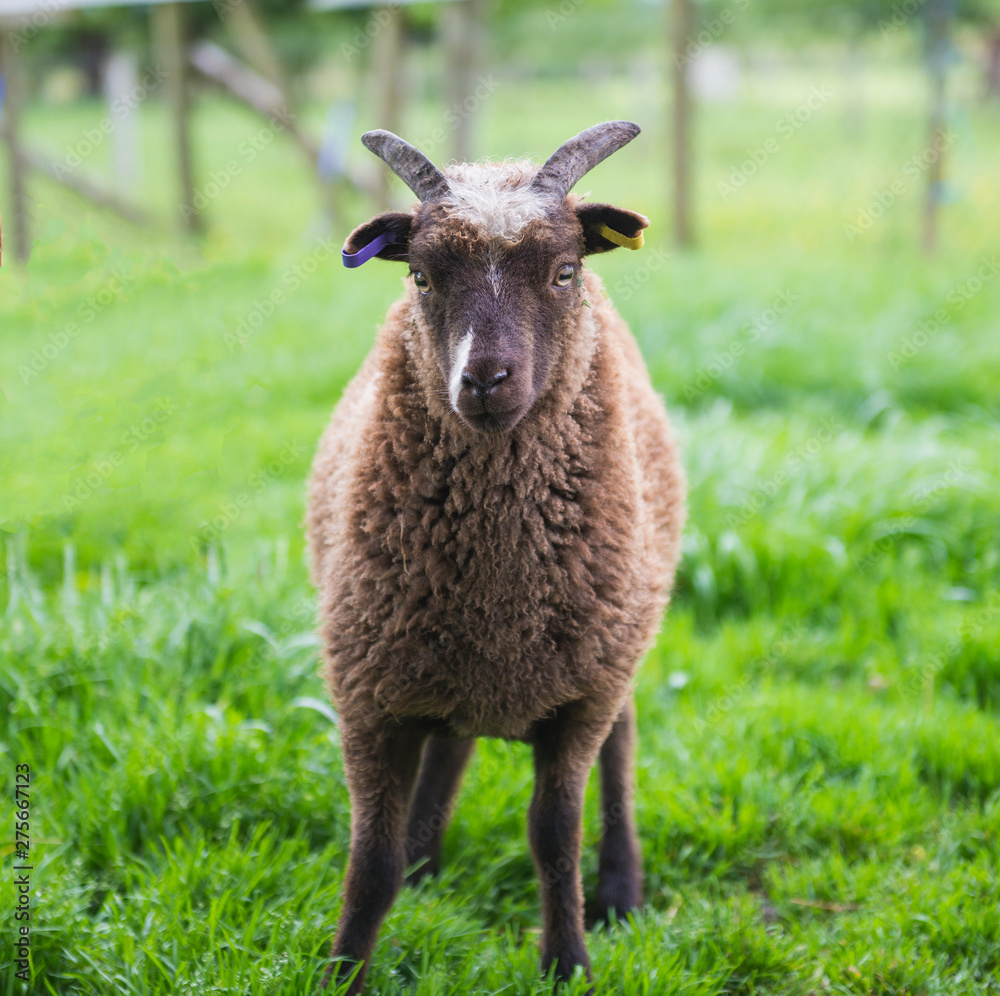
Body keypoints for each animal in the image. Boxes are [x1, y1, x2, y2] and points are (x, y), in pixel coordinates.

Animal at [306, 120, 685, 993]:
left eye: (566, 270)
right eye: (418, 275)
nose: (484, 380)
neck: (497, 581)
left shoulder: (580, 695)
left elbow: (553, 836)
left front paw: (567, 961)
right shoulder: (369, 691)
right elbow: (369, 862)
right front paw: (344, 970)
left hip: (617, 633)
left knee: (622, 741)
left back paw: (620, 888)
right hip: (442, 659)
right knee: (453, 739)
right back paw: (424, 862)